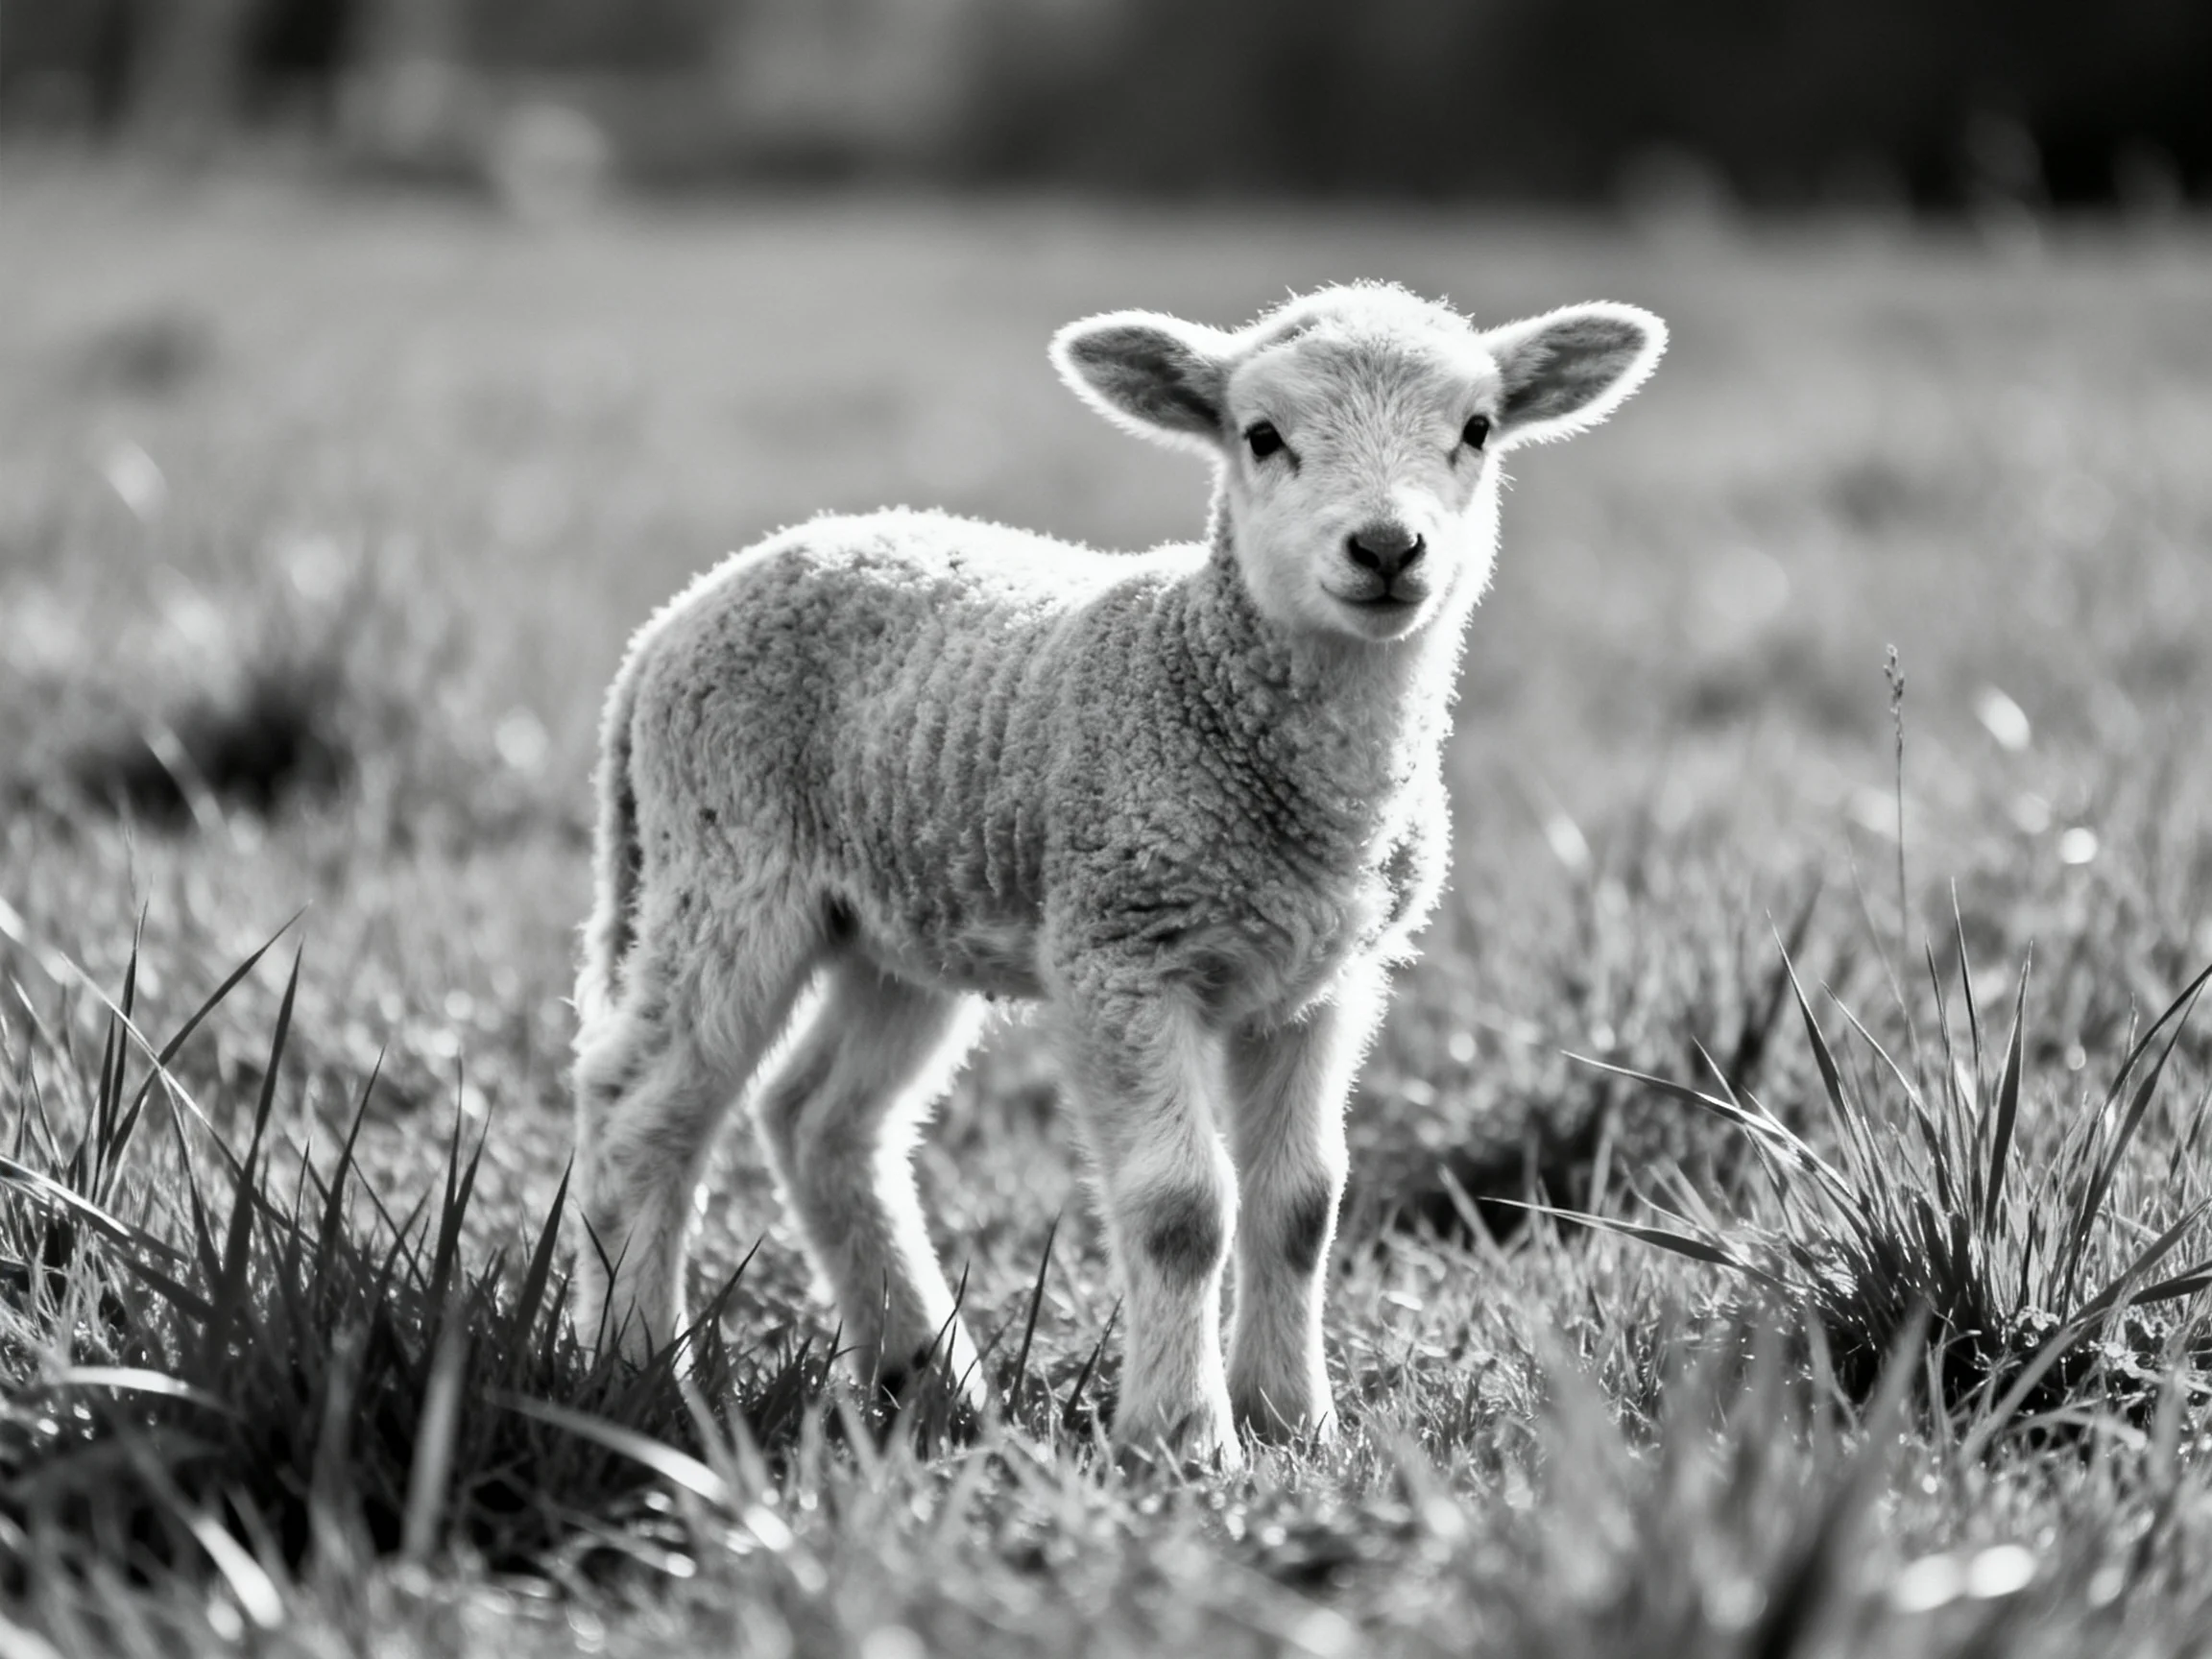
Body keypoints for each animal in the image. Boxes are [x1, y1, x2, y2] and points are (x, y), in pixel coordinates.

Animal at [570, 281, 1666, 1463]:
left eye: (1477, 430)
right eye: (1261, 435)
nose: (1385, 547)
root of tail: (670, 624)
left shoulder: (1325, 980)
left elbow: (1304, 1204)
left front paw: (1295, 1425)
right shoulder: (1122, 950)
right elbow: (1184, 1209)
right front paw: (1184, 1441)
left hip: (896, 920)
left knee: (821, 1122)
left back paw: (931, 1384)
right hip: (724, 863)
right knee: (640, 1111)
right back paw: (637, 1376)